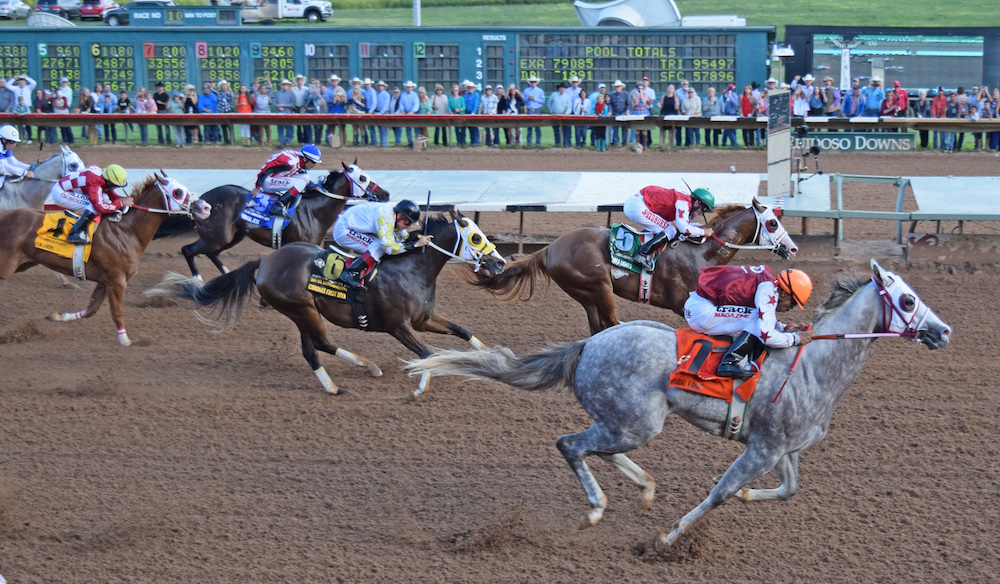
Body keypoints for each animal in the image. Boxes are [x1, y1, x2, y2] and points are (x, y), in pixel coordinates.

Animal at [0, 173, 209, 346]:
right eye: (178, 192)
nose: (206, 207)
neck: (125, 231)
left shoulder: (104, 280)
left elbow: (91, 309)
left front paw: (58, 316)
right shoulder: (117, 280)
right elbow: (116, 311)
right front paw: (125, 340)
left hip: (23, 264)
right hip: (6, 266)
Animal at [176, 161, 386, 280]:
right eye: (362, 177)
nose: (385, 194)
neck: (314, 212)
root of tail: (200, 200)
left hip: (232, 236)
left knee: (212, 253)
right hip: (218, 235)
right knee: (188, 250)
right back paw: (197, 281)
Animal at [408, 262, 952, 548]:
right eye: (907, 301)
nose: (943, 331)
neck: (816, 365)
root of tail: (588, 344)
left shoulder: (782, 448)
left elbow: (788, 489)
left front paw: (751, 497)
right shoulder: (761, 449)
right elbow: (719, 494)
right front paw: (669, 541)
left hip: (628, 420)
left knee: (596, 448)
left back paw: (644, 490)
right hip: (637, 422)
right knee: (570, 445)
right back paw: (595, 510)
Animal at [474, 200, 796, 336]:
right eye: (772, 222)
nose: (792, 248)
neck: (703, 253)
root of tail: (550, 248)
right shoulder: (686, 304)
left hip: (585, 294)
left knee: (598, 327)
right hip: (599, 286)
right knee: (612, 323)